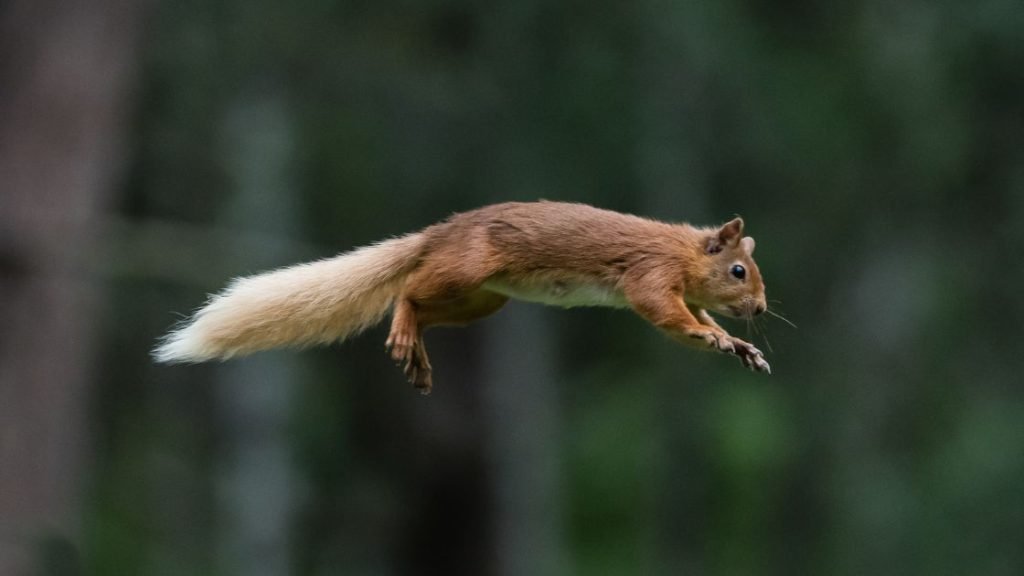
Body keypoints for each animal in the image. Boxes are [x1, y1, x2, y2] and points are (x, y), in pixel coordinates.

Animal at [154, 201, 771, 393]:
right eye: (739, 270)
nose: (762, 309)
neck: (684, 252)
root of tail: (437, 235)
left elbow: (688, 320)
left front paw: (737, 344)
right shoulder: (650, 273)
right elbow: (667, 315)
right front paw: (713, 333)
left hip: (482, 300)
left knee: (427, 310)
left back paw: (416, 351)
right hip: (466, 270)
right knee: (406, 291)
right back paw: (402, 328)